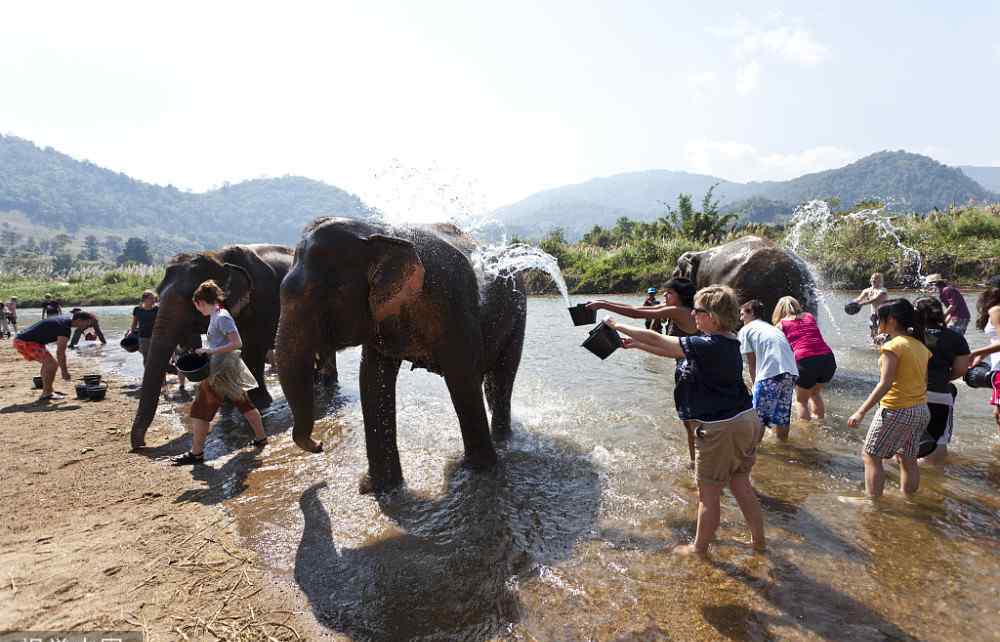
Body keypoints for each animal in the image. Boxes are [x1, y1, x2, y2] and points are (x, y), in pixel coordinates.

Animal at [129, 242, 330, 448]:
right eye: (158, 294)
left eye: (189, 299)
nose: (141, 444)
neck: (219, 257)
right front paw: (227, 402)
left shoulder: (261, 301)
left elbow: (252, 349)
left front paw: (260, 402)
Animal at [272, 218, 524, 492]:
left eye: (320, 294)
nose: (319, 446)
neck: (382, 234)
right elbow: (372, 379)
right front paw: (379, 488)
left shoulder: (452, 300)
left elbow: (462, 377)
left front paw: (479, 470)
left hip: (518, 312)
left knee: (503, 375)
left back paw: (503, 441)